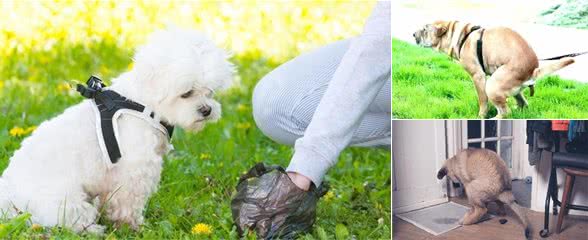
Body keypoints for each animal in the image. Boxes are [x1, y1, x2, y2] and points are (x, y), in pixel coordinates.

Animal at [0, 27, 234, 233]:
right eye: (186, 93)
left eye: (210, 91)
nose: (207, 110)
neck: (143, 103)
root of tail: (9, 196)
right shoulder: (134, 170)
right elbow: (127, 204)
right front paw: (132, 227)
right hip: (66, 201)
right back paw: (93, 229)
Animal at [414, 20, 576, 119]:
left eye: (424, 29)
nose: (413, 34)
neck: (461, 36)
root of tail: (533, 70)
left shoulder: (478, 76)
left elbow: (482, 100)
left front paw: (481, 116)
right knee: (522, 103)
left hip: (493, 84)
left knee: (505, 111)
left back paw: (494, 118)